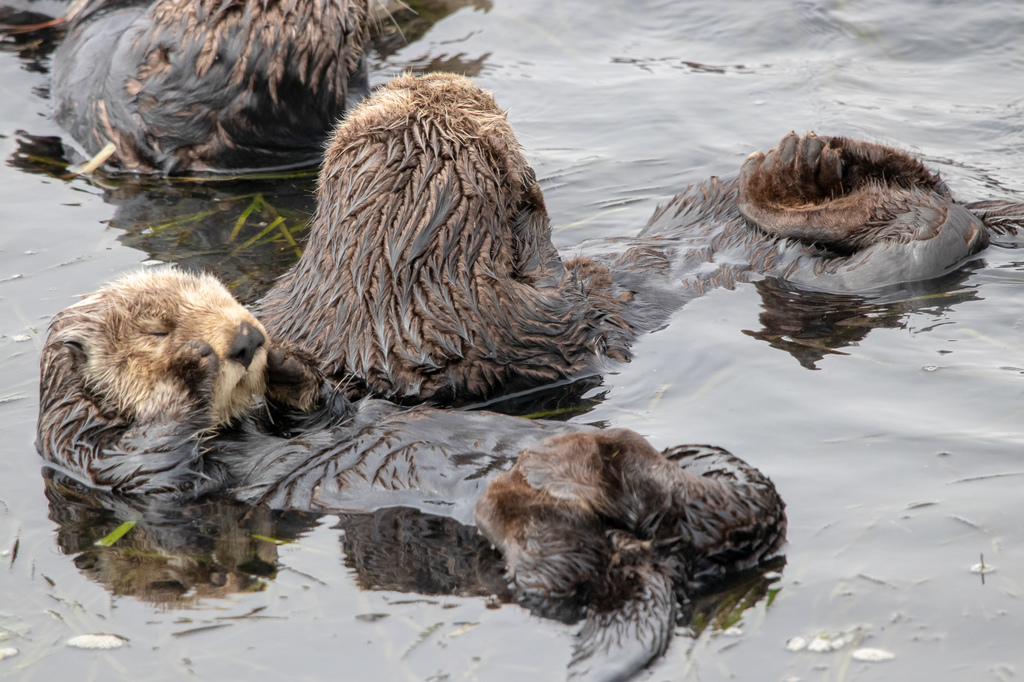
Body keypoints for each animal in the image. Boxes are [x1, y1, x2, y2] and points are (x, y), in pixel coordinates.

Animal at [32, 266, 782, 675]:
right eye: (159, 327)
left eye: (224, 296)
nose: (244, 334)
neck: (246, 426)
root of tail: (656, 560)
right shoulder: (108, 463)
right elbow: (166, 457)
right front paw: (201, 369)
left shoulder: (311, 417)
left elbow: (322, 405)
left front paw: (286, 359)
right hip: (573, 555)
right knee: (565, 566)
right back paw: (537, 485)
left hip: (713, 471)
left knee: (721, 501)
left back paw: (584, 458)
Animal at [260, 73, 1019, 403]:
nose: (433, 74)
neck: (372, 297)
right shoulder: (517, 332)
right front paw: (528, 196)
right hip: (883, 263)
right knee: (933, 221)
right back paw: (794, 171)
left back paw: (806, 156)